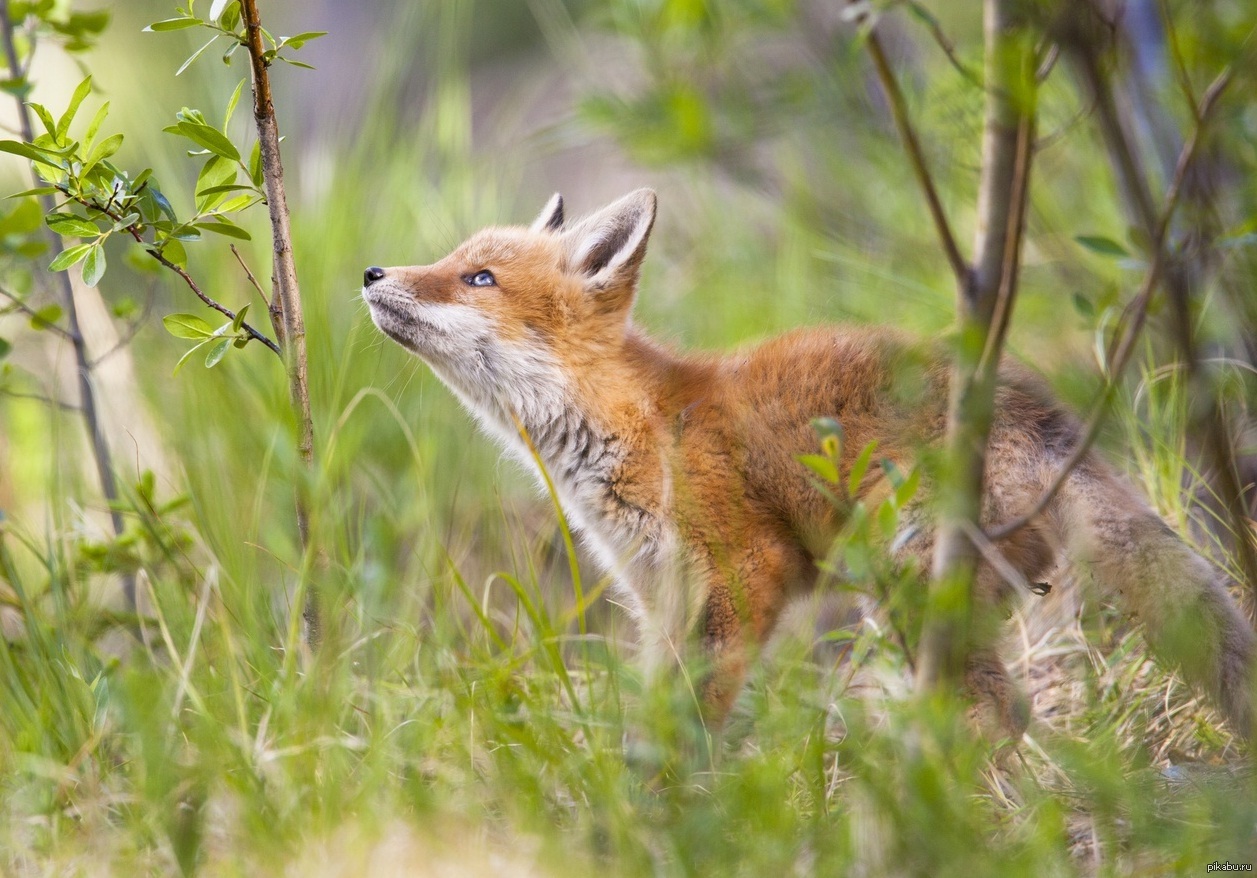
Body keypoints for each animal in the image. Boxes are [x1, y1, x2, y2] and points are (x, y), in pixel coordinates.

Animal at [364, 189, 1257, 739]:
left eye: (477, 278)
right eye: (455, 258)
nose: (372, 271)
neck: (638, 424)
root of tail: (1047, 420)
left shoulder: (742, 573)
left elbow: (691, 722)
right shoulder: (659, 599)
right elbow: (652, 718)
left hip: (907, 582)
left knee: (998, 717)